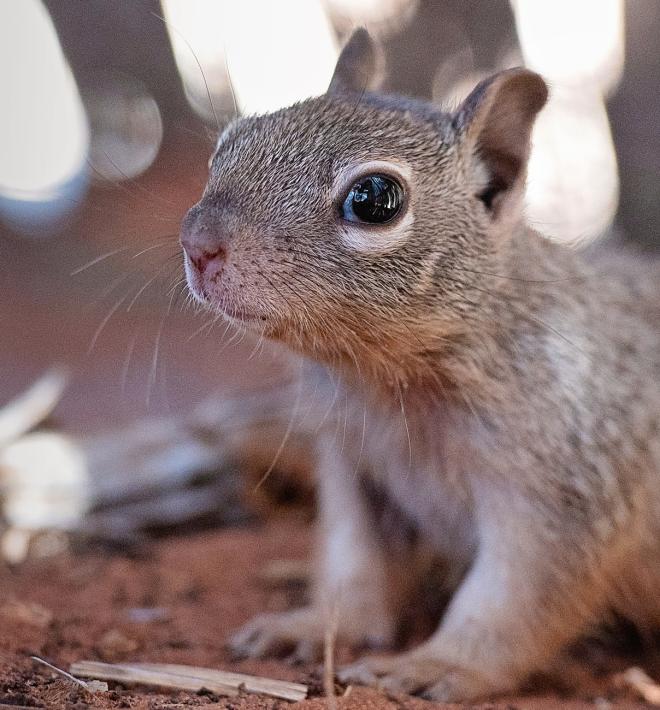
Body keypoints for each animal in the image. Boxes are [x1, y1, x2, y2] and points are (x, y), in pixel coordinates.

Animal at [178, 29, 660, 708]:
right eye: (228, 145)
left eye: (376, 199)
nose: (197, 244)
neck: (388, 381)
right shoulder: (357, 469)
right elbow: (356, 568)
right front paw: (314, 625)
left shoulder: (569, 492)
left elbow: (510, 600)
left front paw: (435, 665)